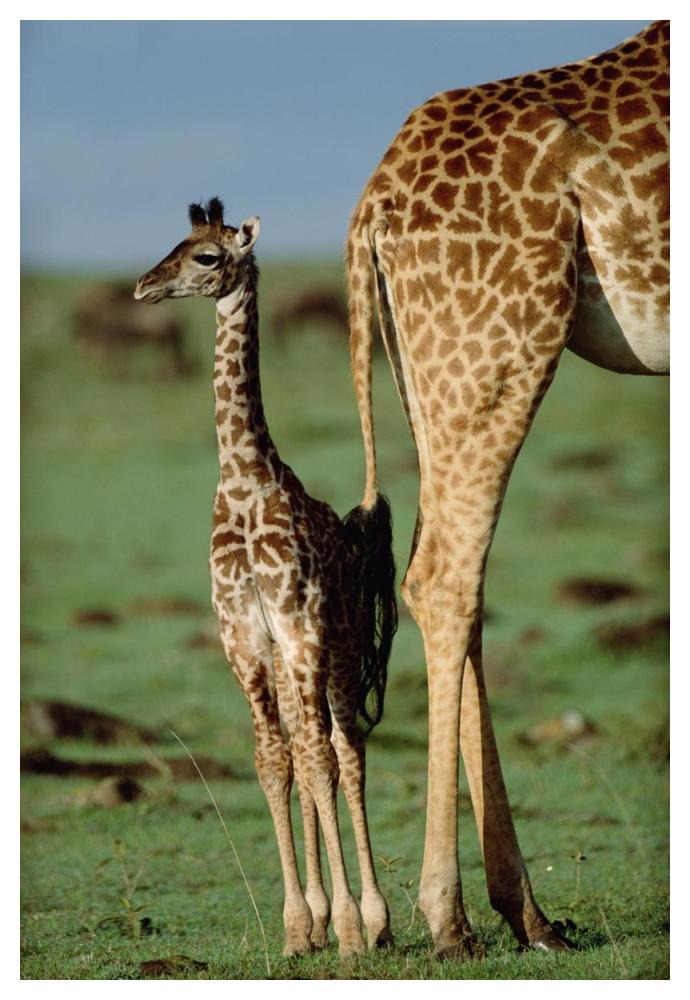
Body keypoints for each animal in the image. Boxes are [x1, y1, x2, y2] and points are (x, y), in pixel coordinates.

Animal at [134, 198, 397, 957]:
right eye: (176, 243)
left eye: (207, 257)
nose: (143, 287)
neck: (245, 482)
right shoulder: (245, 639)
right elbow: (274, 763)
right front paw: (297, 927)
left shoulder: (300, 628)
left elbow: (318, 761)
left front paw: (348, 928)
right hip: (289, 661)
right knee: (309, 754)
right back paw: (326, 914)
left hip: (338, 649)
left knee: (345, 749)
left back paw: (376, 920)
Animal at [346, 20, 669, 957]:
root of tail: (373, 204)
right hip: (500, 340)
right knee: (444, 575)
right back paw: (448, 916)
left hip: (431, 366)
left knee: (452, 575)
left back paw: (527, 912)